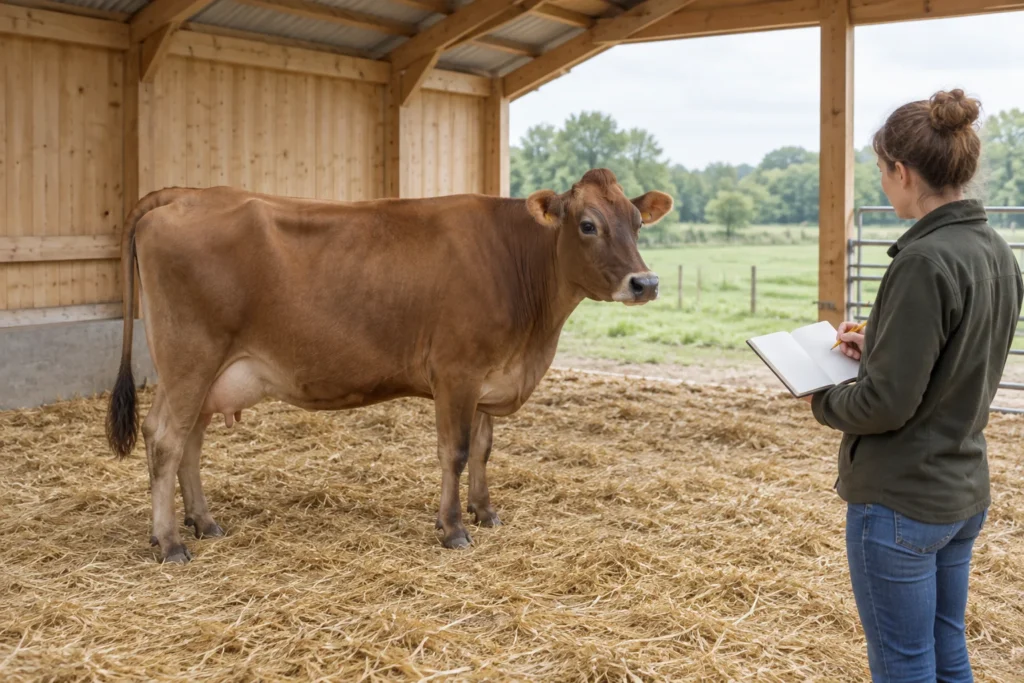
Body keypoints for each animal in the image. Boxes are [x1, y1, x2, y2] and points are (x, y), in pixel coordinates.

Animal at [105, 168, 673, 563]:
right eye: (587, 225)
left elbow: (484, 450)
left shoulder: (488, 377)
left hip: (206, 374)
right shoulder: (456, 373)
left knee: (187, 441)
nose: (646, 283)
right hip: (190, 359)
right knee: (165, 439)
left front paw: (486, 512)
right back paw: (170, 542)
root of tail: (187, 193)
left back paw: (204, 522)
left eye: (638, 223)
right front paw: (453, 529)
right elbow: (455, 452)